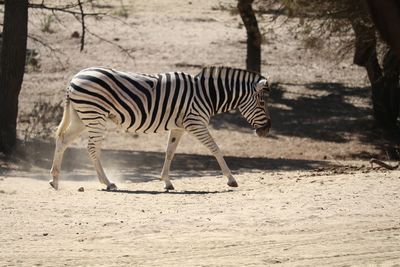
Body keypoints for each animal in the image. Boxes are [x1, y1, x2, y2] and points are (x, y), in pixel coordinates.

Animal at [48, 67, 270, 193]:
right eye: (262, 102)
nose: (267, 130)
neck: (206, 95)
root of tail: (75, 78)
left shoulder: (179, 127)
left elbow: (170, 152)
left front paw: (166, 182)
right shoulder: (195, 123)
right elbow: (215, 148)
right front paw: (231, 179)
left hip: (81, 116)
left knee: (62, 140)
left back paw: (54, 179)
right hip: (94, 115)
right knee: (92, 148)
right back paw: (108, 183)